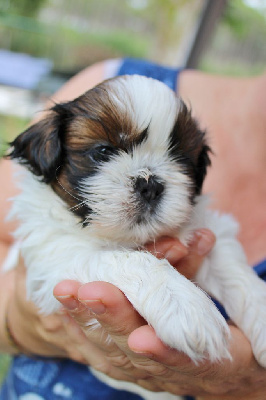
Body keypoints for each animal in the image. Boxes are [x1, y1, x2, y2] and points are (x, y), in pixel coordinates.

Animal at [5, 76, 266, 396]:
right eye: (103, 152)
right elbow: (132, 260)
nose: (150, 184)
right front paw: (186, 306)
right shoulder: (56, 257)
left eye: (179, 158)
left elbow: (236, 274)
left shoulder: (210, 233)